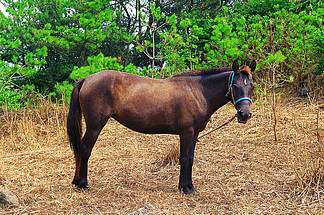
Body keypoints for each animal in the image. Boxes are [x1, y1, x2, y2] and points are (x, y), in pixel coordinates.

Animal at [67, 59, 256, 195]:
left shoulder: (194, 134)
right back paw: (83, 184)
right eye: (235, 85)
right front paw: (184, 188)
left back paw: (76, 182)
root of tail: (86, 79)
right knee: (85, 150)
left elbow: (191, 159)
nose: (244, 115)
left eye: (252, 86)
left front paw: (190, 186)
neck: (198, 92)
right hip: (95, 126)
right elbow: (184, 159)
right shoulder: (186, 132)